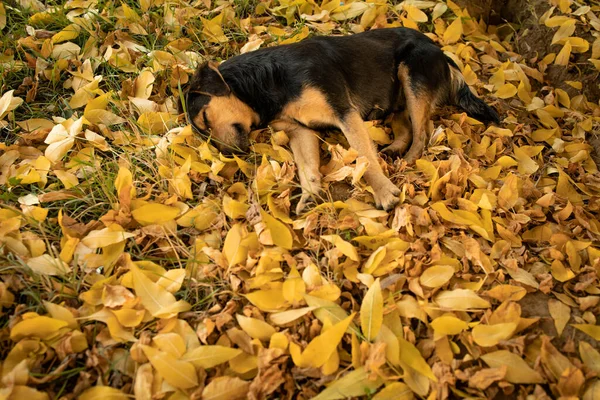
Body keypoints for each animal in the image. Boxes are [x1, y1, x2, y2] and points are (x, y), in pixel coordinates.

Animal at [180, 27, 500, 212]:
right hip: (395, 98)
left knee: (423, 132)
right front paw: (309, 195)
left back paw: (408, 162)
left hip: (412, 74)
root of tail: (442, 53)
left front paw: (384, 192)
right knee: (409, 127)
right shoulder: (299, 129)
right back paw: (395, 149)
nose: (228, 156)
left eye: (205, 120)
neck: (267, 84)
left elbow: (364, 158)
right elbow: (307, 167)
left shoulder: (344, 113)